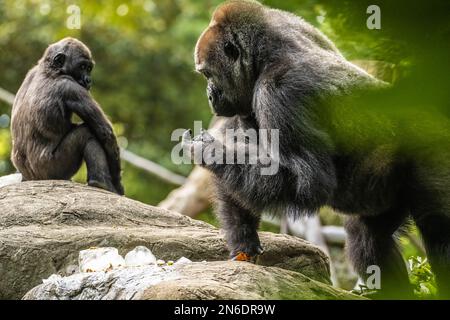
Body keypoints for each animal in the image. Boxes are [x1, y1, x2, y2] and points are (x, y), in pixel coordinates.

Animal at [11, 38, 123, 196]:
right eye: (82, 67)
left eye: (89, 68)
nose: (88, 80)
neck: (50, 70)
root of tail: (33, 178)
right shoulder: (71, 88)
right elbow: (105, 133)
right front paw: (118, 183)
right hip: (53, 171)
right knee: (87, 133)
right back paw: (101, 183)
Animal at [184, 1, 450, 298]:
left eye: (208, 74)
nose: (210, 96)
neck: (263, 56)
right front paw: (244, 242)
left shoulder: (279, 93)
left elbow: (308, 181)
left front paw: (209, 150)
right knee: (368, 236)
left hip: (436, 150)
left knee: (440, 229)